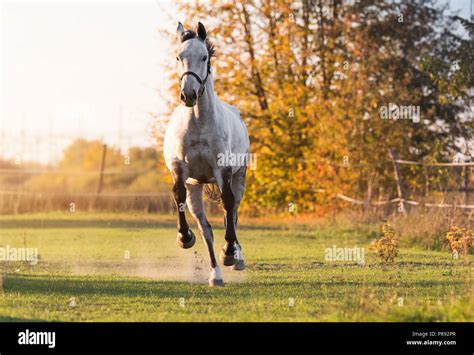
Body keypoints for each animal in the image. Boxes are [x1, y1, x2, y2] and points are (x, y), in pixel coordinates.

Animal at [163, 22, 250, 288]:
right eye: (178, 57)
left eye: (203, 57)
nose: (188, 95)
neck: (199, 122)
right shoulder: (181, 171)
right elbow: (178, 196)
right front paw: (184, 237)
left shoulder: (223, 171)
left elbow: (228, 204)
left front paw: (229, 253)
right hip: (196, 187)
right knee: (206, 230)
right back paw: (215, 275)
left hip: (239, 177)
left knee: (233, 213)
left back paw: (235, 257)